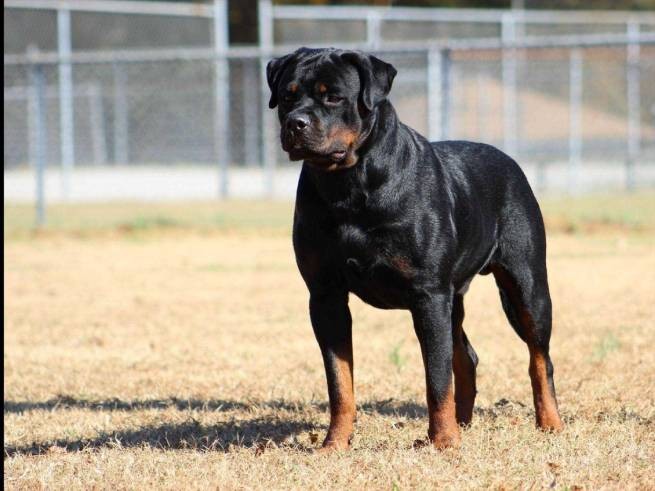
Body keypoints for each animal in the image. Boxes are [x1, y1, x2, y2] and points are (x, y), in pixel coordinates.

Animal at [266, 48, 564, 452]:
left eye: (334, 97)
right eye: (287, 96)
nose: (295, 123)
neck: (349, 184)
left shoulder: (428, 293)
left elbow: (436, 378)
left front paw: (443, 443)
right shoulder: (326, 296)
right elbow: (340, 382)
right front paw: (335, 444)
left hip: (525, 284)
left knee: (539, 356)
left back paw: (549, 423)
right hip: (454, 299)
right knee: (466, 357)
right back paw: (463, 423)